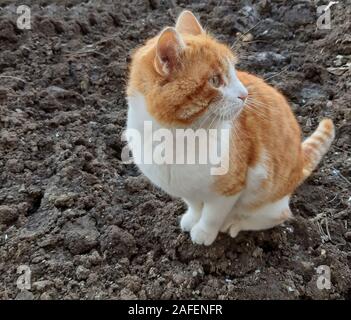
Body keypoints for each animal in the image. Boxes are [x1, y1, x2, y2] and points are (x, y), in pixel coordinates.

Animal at [126, 10, 336, 245]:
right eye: (215, 80)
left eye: (235, 71)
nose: (244, 94)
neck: (174, 136)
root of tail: (300, 160)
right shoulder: (186, 187)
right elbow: (194, 205)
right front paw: (192, 219)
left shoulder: (229, 189)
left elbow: (212, 215)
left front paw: (204, 233)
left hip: (267, 195)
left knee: (279, 215)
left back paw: (235, 223)